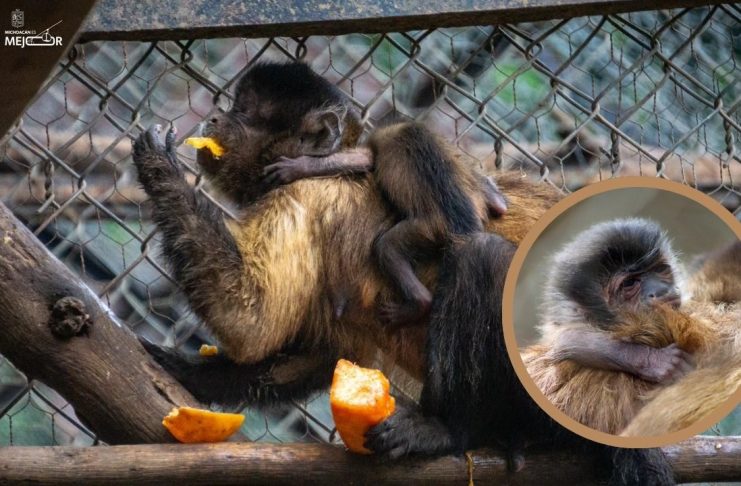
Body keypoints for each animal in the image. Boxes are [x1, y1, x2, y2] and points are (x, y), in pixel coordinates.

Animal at [131, 61, 675, 485]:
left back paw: (451, 430)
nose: (214, 115)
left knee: (483, 256)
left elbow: (251, 322)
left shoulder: (303, 196)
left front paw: (160, 168)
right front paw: (178, 369)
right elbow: (319, 355)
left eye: (242, 112)